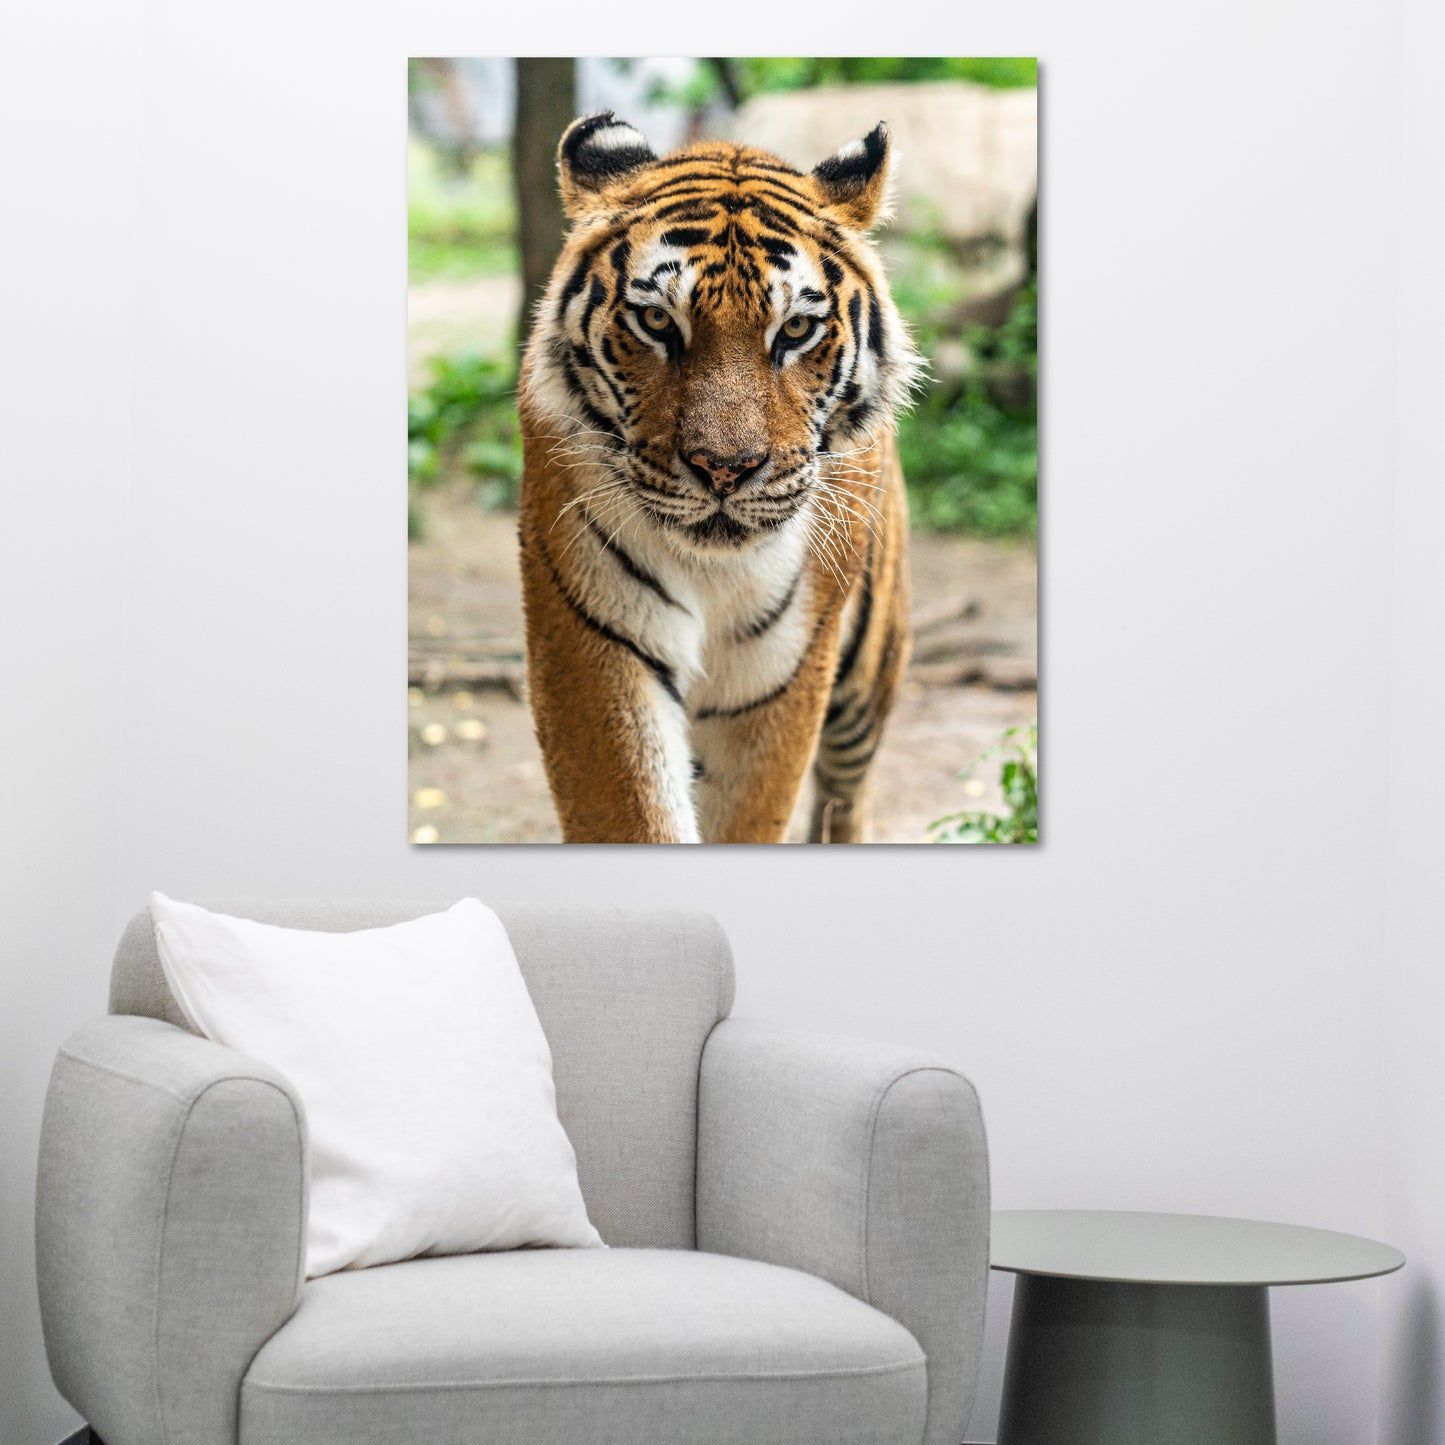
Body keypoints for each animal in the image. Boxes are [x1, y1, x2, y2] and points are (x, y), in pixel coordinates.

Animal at [517, 111, 922, 844]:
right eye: (656, 320)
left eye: (795, 329)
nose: (724, 469)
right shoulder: (596, 640)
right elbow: (633, 811)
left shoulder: (781, 672)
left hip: (867, 669)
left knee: (846, 792)